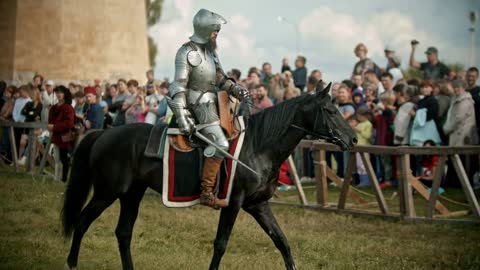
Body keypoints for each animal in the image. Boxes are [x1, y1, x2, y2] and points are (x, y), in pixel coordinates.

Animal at [62, 83, 358, 270]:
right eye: (330, 111)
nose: (353, 139)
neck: (258, 146)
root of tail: (104, 133)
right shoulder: (234, 203)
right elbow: (221, 244)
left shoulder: (258, 205)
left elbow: (282, 242)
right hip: (107, 192)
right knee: (82, 223)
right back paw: (71, 264)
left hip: (131, 194)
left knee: (123, 233)